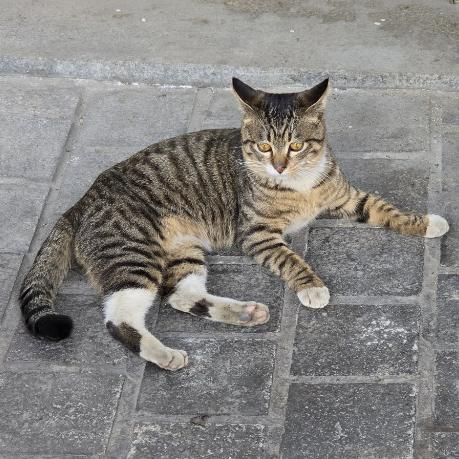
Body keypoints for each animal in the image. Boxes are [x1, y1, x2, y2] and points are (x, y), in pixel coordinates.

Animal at [19, 78, 449, 371]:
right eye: (264, 146)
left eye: (296, 145)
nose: (279, 165)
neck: (299, 185)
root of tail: (82, 200)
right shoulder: (258, 235)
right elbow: (292, 260)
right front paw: (311, 286)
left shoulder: (346, 198)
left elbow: (385, 208)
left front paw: (427, 222)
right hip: (134, 253)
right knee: (119, 317)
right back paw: (165, 354)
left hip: (182, 250)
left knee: (182, 295)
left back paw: (245, 314)